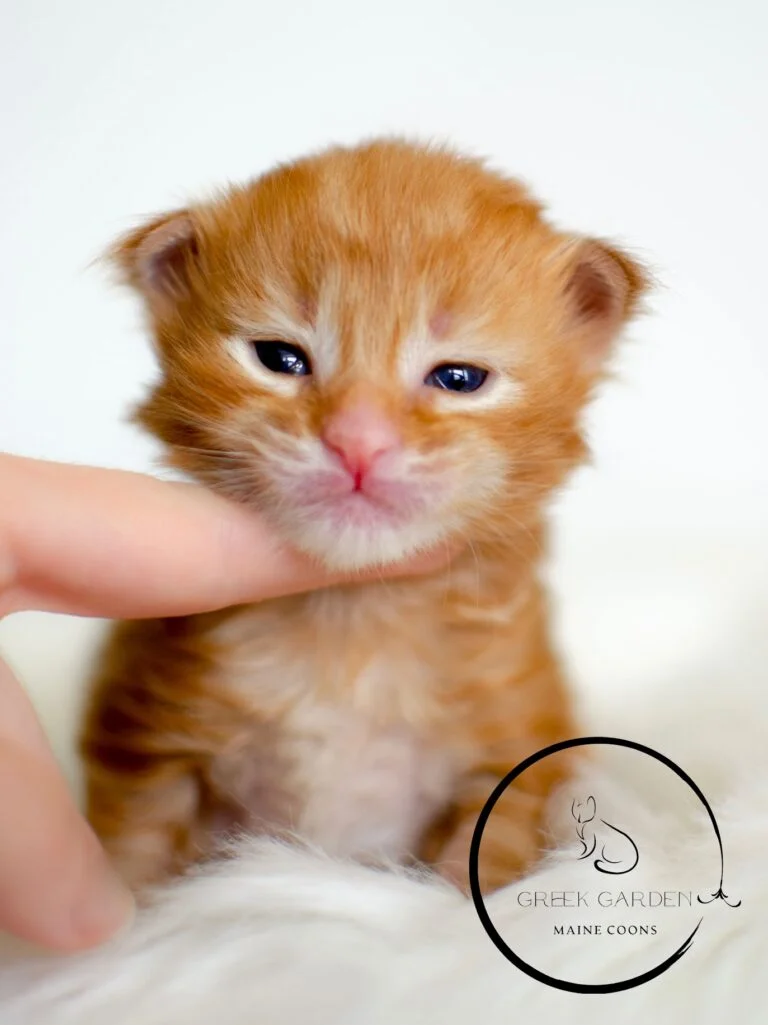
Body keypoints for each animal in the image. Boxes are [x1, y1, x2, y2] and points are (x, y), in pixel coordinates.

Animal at [81, 140, 648, 893]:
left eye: (459, 379)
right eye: (280, 358)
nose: (358, 441)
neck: (351, 622)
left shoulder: (510, 756)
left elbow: (473, 868)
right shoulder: (144, 741)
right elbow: (131, 858)